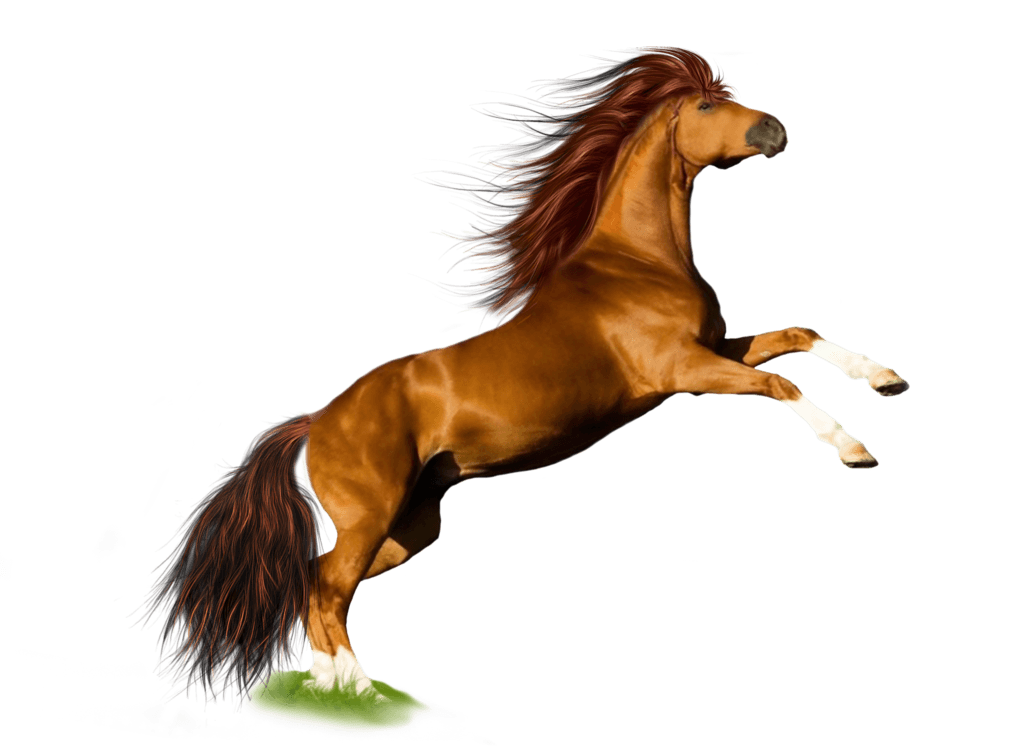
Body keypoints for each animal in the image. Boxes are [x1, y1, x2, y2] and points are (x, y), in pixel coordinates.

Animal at [128, 46, 908, 725]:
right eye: (710, 103)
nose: (779, 130)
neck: (637, 262)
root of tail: (314, 421)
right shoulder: (682, 370)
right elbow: (778, 383)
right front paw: (855, 449)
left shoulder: (715, 347)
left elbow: (800, 335)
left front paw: (886, 379)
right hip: (373, 516)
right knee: (326, 586)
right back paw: (365, 696)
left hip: (412, 527)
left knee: (320, 585)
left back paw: (333, 689)